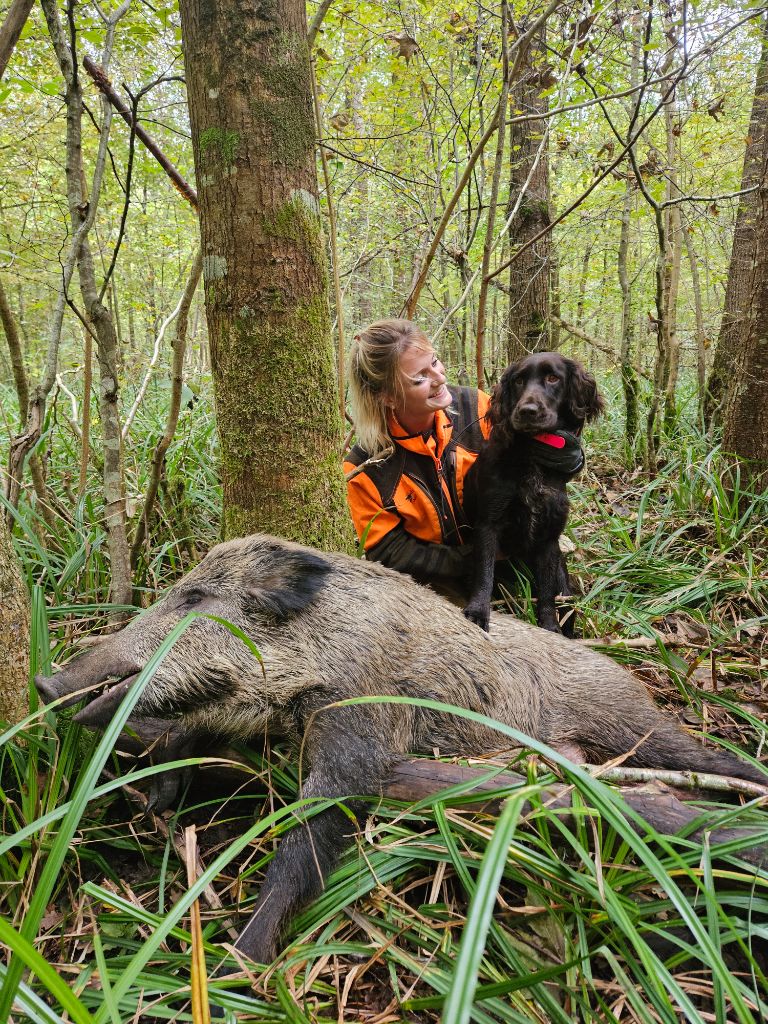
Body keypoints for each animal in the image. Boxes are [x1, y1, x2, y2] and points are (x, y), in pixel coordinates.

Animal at [462, 356, 606, 634]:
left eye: (553, 378)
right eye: (518, 380)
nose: (527, 411)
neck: (532, 457)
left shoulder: (549, 537)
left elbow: (547, 590)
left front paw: (549, 626)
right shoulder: (488, 523)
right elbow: (485, 573)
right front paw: (478, 611)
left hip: (566, 590)